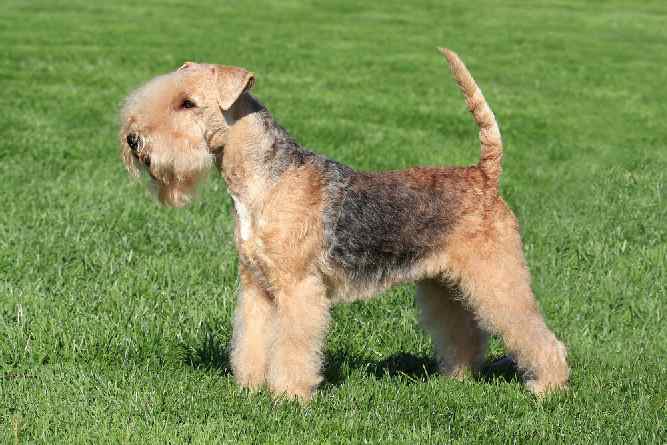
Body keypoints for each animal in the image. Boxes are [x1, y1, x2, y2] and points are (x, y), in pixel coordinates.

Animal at [118, 47, 568, 398]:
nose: (133, 139)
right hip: (445, 284)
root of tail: (484, 174)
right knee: (464, 335)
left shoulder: (298, 287)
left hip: (497, 277)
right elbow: (252, 340)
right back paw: (456, 378)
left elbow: (294, 346)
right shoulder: (256, 286)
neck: (265, 180)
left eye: (188, 103)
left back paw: (548, 386)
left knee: (536, 334)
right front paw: (248, 388)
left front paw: (288, 395)